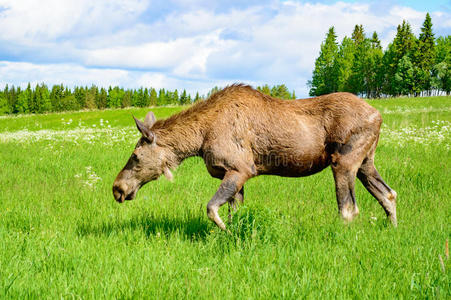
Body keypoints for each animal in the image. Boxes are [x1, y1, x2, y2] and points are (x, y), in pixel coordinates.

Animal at [113, 84, 400, 230]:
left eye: (135, 155)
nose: (117, 188)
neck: (199, 139)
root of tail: (379, 116)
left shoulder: (241, 168)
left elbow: (211, 209)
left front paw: (225, 232)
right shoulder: (236, 175)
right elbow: (234, 212)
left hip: (344, 161)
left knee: (349, 209)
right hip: (366, 162)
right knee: (388, 193)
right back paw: (393, 229)